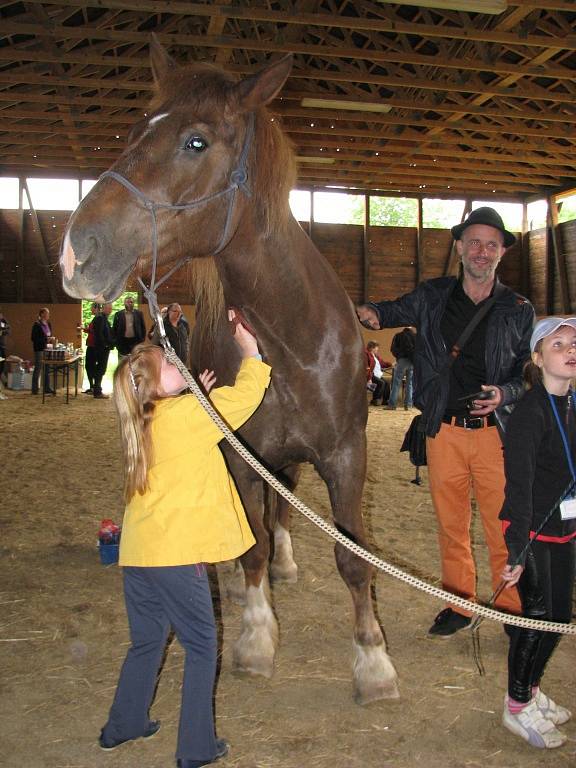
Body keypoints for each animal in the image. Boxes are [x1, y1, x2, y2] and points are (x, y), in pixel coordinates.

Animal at [60, 40, 398, 704]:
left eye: (196, 141)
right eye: (136, 131)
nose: (77, 249)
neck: (288, 339)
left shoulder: (347, 454)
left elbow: (353, 557)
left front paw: (374, 662)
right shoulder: (241, 455)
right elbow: (254, 545)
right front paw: (257, 638)